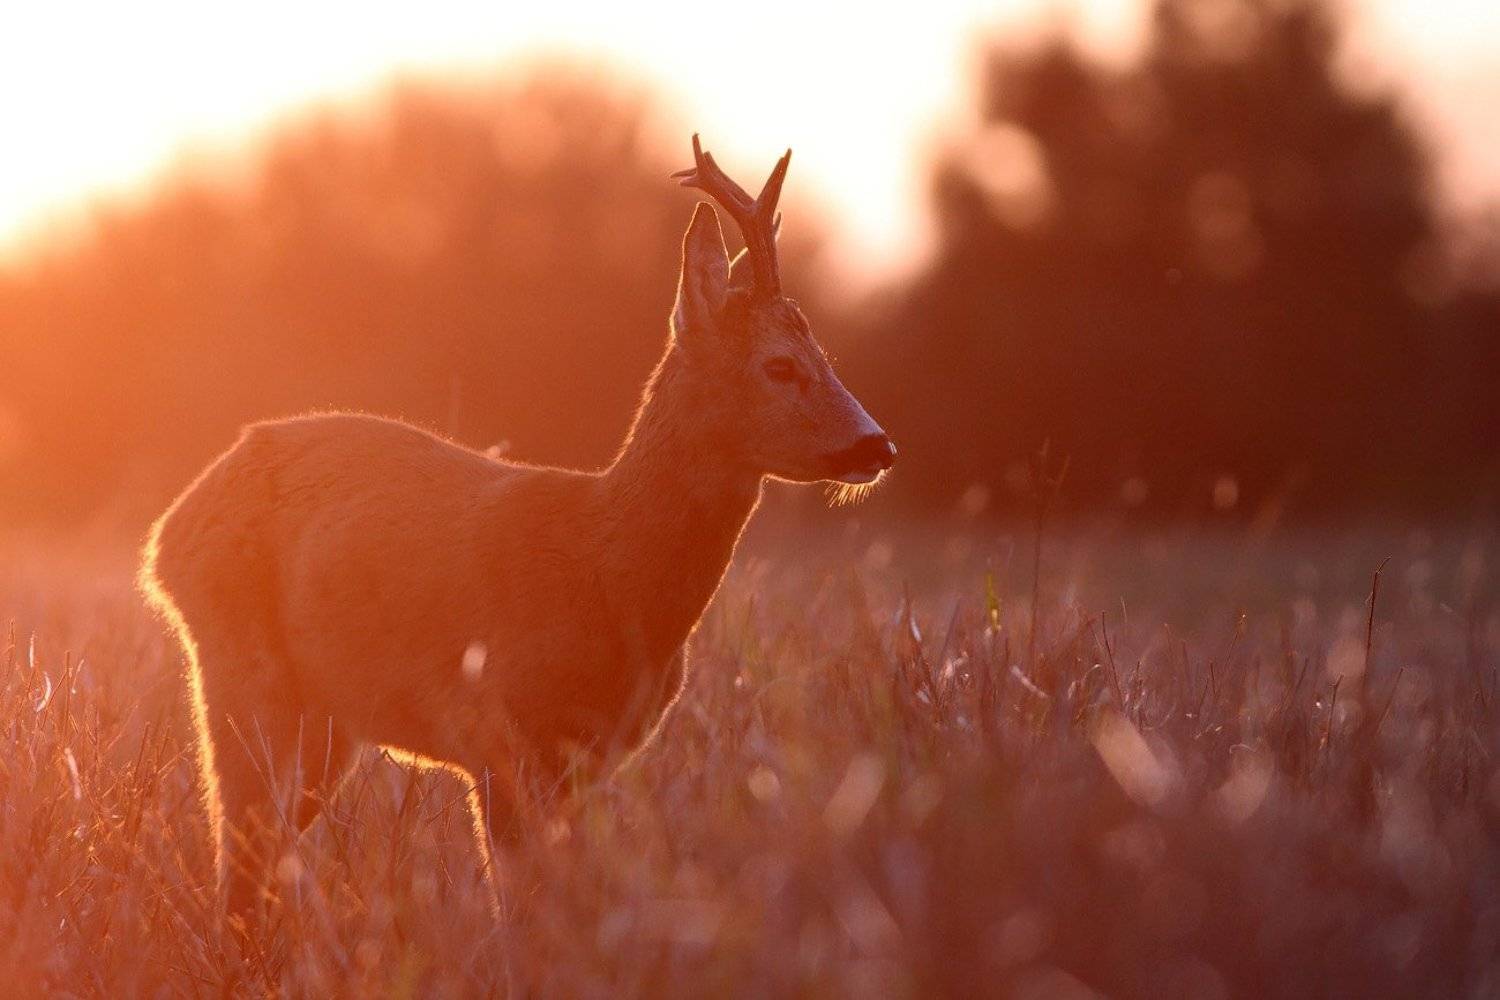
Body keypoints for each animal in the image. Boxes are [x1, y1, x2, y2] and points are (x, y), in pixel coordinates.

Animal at [138, 134, 896, 917]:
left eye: (825, 357)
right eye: (780, 365)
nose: (877, 445)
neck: (609, 569)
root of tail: (165, 536)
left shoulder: (594, 754)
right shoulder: (501, 733)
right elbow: (519, 902)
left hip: (327, 720)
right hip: (240, 673)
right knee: (238, 855)